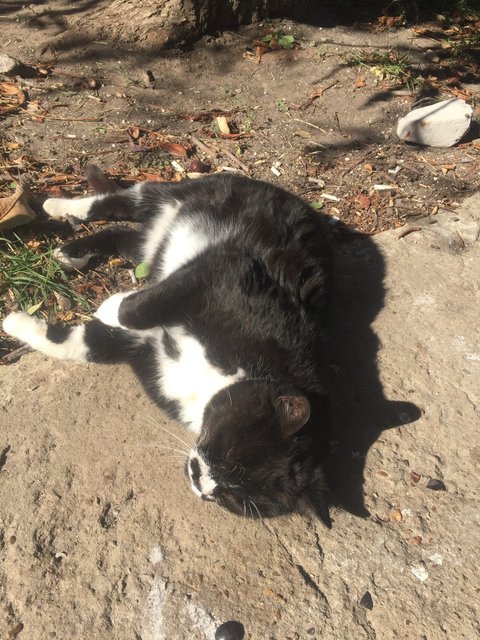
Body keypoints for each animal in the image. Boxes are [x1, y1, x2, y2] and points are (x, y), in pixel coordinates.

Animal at [3, 167, 333, 526]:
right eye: (229, 456)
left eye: (235, 498)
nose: (203, 485)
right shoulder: (226, 272)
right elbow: (136, 308)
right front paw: (110, 305)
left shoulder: (147, 354)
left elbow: (85, 345)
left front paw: (18, 325)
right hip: (195, 192)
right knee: (120, 203)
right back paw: (59, 208)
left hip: (152, 245)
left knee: (129, 238)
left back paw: (72, 253)